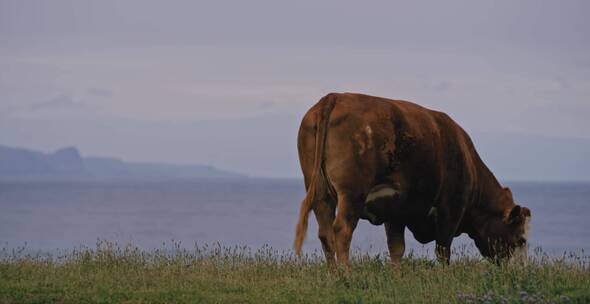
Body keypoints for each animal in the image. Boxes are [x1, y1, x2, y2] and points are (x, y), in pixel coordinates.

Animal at [294, 92, 532, 266]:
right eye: (521, 239)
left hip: (320, 192)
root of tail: (336, 96)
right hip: (352, 193)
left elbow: (397, 248)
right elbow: (443, 250)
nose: (521, 270)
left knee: (325, 233)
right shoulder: (450, 209)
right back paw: (346, 275)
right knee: (342, 230)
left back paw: (333, 274)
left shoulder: (395, 212)